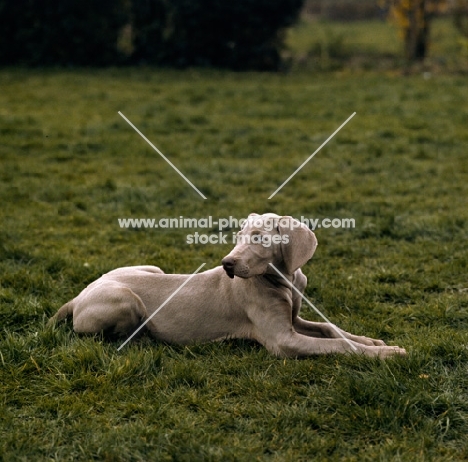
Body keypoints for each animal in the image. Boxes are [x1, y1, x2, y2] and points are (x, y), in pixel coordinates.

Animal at [49, 213, 404, 358]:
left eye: (259, 238)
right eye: (238, 236)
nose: (227, 263)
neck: (285, 280)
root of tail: (78, 296)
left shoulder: (294, 319)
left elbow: (331, 329)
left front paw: (373, 342)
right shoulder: (283, 341)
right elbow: (340, 345)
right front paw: (387, 354)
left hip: (151, 268)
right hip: (125, 299)